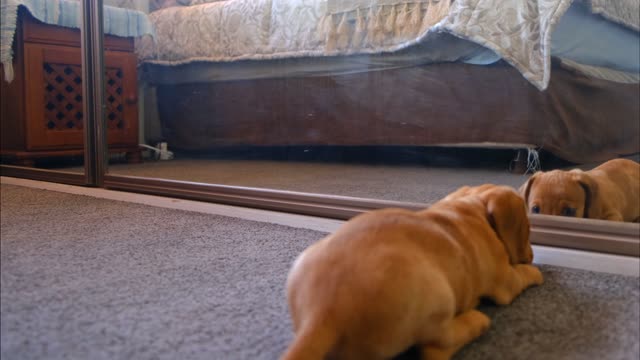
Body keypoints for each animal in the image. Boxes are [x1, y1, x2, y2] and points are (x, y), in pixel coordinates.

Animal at [282, 186, 544, 360]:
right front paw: (535, 272)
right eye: (528, 228)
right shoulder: (506, 281)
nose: (532, 254)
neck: (470, 208)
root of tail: (322, 313)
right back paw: (476, 321)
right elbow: (521, 275)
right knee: (434, 349)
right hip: (440, 298)